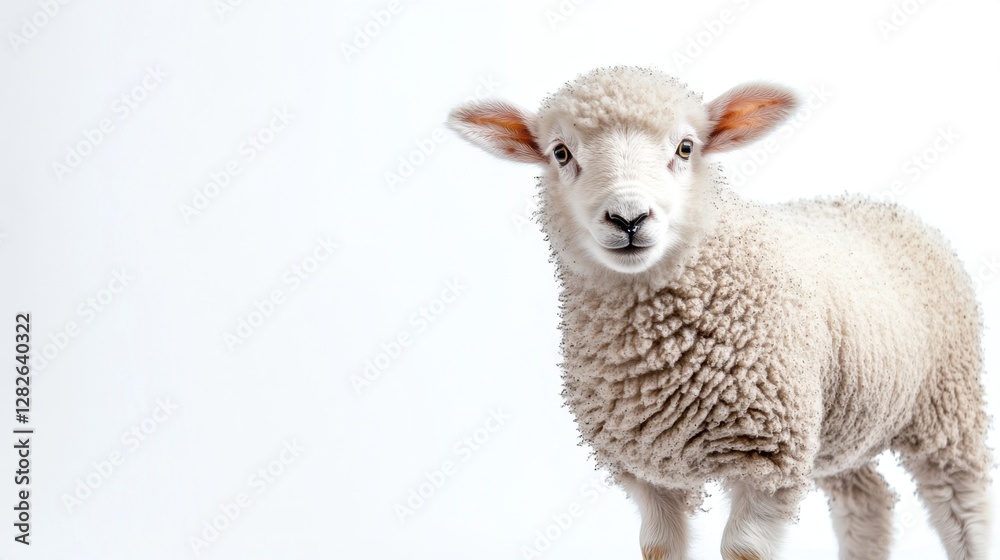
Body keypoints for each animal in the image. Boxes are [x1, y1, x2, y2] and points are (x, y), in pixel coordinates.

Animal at [446, 66, 993, 560]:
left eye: (686, 148)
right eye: (561, 153)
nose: (628, 218)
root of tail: (875, 204)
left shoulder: (770, 457)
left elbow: (744, 550)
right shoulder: (647, 471)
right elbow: (658, 548)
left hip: (948, 403)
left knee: (964, 509)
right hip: (840, 425)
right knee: (867, 501)